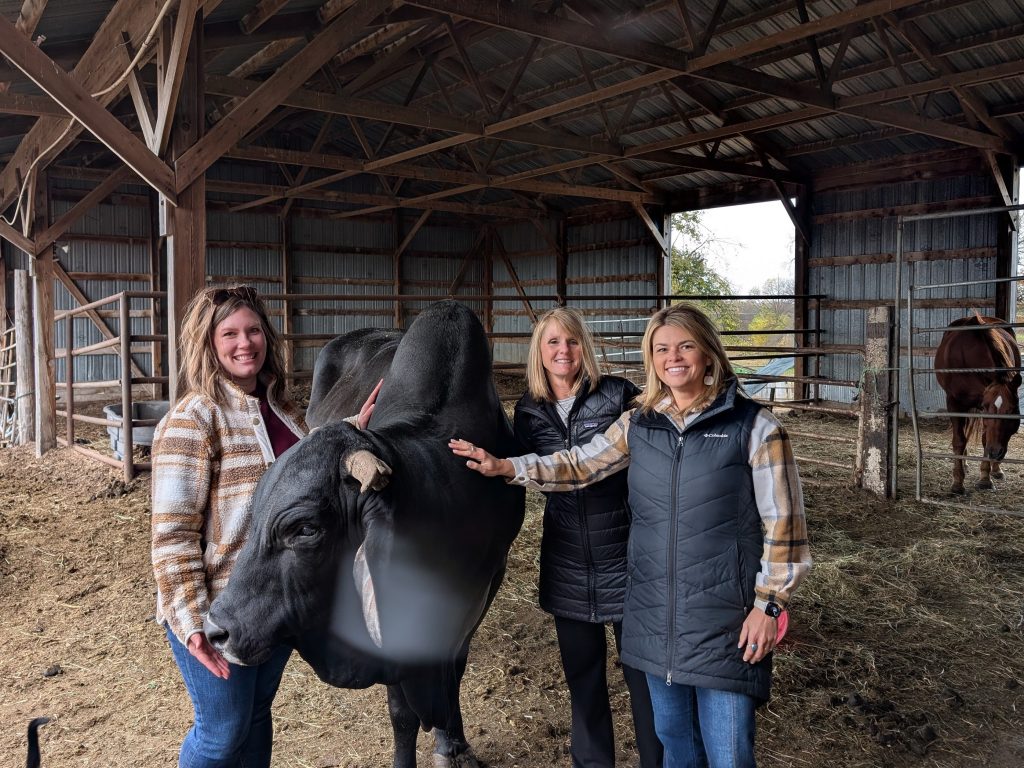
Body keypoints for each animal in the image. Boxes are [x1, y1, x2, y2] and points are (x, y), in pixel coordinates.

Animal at [205, 300, 525, 768]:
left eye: (305, 528)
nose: (217, 630)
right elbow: (402, 711)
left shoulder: (484, 584)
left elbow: (453, 670)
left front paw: (452, 742)